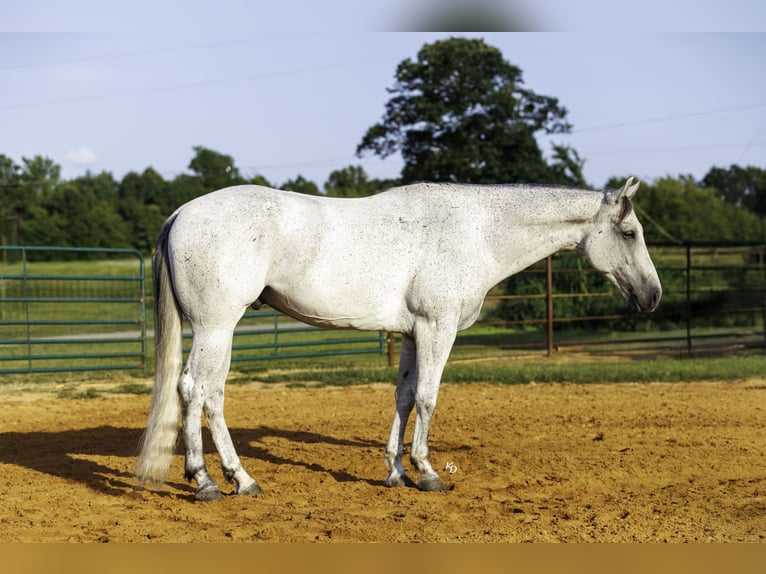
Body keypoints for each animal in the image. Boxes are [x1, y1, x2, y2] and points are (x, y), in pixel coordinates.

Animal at [135, 177, 661, 501]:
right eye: (630, 232)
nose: (653, 295)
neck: (477, 231)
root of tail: (181, 213)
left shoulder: (412, 334)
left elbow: (405, 397)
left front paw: (395, 472)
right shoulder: (437, 327)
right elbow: (428, 397)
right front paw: (427, 474)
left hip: (219, 331)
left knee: (211, 395)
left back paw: (233, 478)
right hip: (216, 326)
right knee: (195, 390)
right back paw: (210, 481)